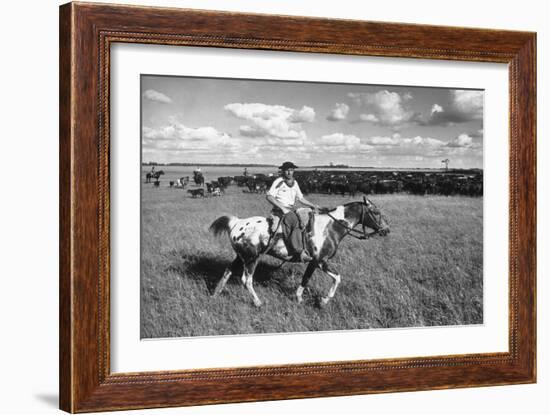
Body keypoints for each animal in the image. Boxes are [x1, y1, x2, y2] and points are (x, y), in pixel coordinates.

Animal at [209, 197, 390, 308]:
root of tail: (236, 223)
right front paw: (322, 301)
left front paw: (301, 298)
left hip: (241, 257)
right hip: (251, 259)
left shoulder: (315, 262)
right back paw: (258, 303)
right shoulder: (321, 261)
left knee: (228, 271)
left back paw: (215, 294)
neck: (331, 227)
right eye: (376, 212)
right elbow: (335, 278)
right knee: (246, 280)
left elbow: (308, 279)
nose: (386, 230)